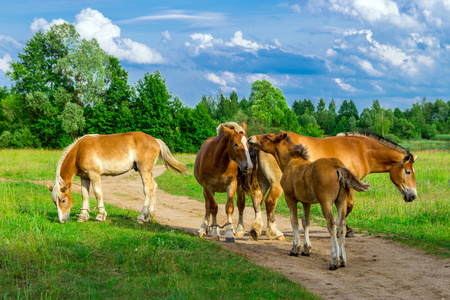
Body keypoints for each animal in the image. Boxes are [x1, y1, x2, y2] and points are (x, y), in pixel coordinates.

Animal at [48, 131, 189, 223]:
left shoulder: (94, 175)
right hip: (148, 171)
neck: (79, 151)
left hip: (144, 170)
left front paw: (100, 216)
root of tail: (155, 140)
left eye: (63, 200)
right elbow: (85, 195)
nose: (62, 220)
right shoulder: (84, 177)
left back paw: (141, 217)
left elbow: (97, 193)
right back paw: (150, 215)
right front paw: (83, 216)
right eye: (54, 202)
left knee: (148, 189)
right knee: (154, 187)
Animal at [244, 131, 416, 241]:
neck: (361, 150)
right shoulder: (349, 186)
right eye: (407, 172)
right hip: (276, 185)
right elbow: (348, 207)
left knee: (257, 200)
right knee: (270, 202)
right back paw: (274, 232)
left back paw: (256, 229)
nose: (413, 195)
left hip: (264, 183)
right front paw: (345, 230)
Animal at [248, 132, 370, 270]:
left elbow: (294, 221)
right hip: (341, 202)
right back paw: (343, 260)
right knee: (341, 225)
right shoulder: (306, 201)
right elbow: (305, 222)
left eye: (267, 137)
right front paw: (306, 249)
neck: (291, 162)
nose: (251, 138)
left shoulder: (290, 198)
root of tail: (337, 166)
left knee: (331, 225)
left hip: (326, 202)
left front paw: (295, 248)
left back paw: (334, 261)